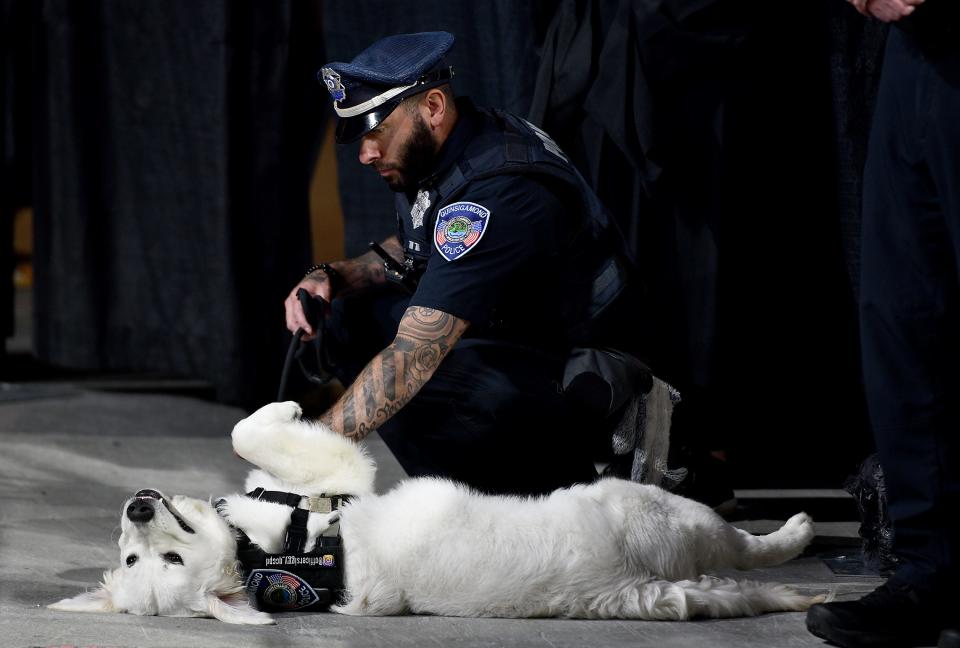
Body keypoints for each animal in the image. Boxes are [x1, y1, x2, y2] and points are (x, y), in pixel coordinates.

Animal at [47, 402, 824, 624]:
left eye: (141, 556)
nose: (136, 506)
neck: (260, 553)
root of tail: (626, 587)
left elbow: (246, 432)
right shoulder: (340, 476)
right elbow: (254, 431)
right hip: (650, 510)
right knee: (742, 553)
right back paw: (796, 536)